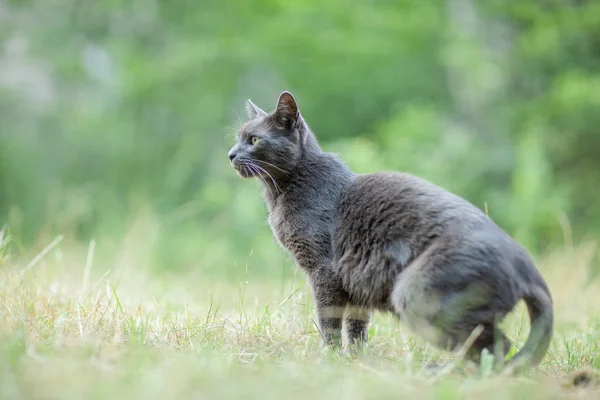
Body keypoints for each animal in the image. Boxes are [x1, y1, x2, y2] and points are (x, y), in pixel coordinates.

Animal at [229, 90, 552, 368]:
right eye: (237, 138)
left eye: (254, 139)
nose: (231, 154)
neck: (282, 190)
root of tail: (526, 265)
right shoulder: (357, 281)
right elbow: (357, 326)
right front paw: (355, 360)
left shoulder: (324, 271)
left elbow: (329, 320)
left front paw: (328, 358)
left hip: (417, 293)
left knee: (494, 347)